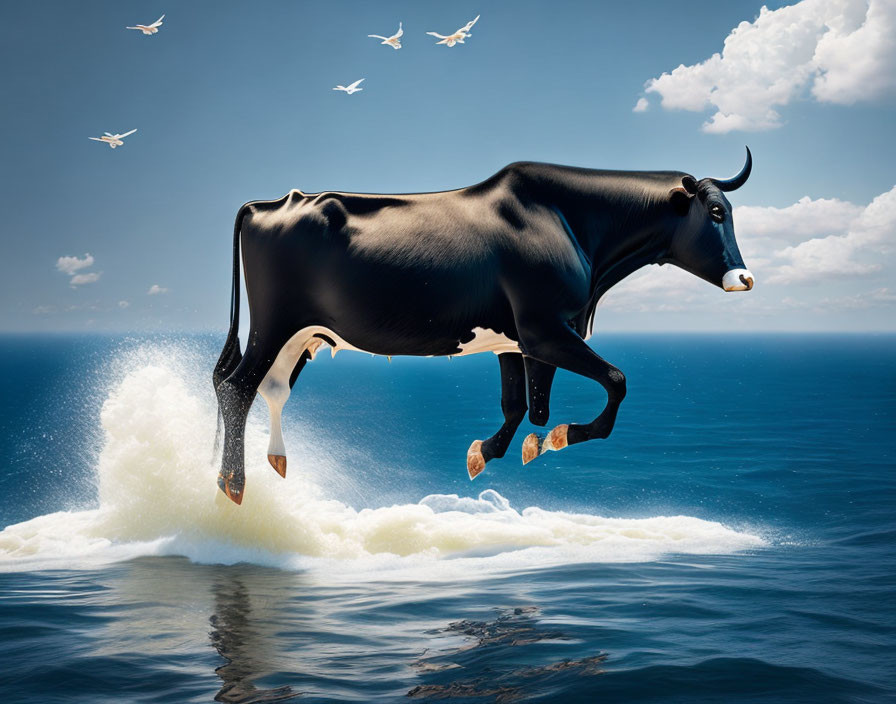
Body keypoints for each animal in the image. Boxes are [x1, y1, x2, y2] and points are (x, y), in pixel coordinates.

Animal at [214, 148, 752, 504]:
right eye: (716, 211)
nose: (744, 278)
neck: (571, 222)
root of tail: (270, 203)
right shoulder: (544, 328)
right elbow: (615, 381)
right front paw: (559, 437)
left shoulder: (516, 340)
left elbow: (524, 407)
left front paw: (492, 451)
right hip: (274, 323)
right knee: (237, 387)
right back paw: (232, 484)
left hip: (300, 335)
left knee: (271, 388)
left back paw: (274, 463)